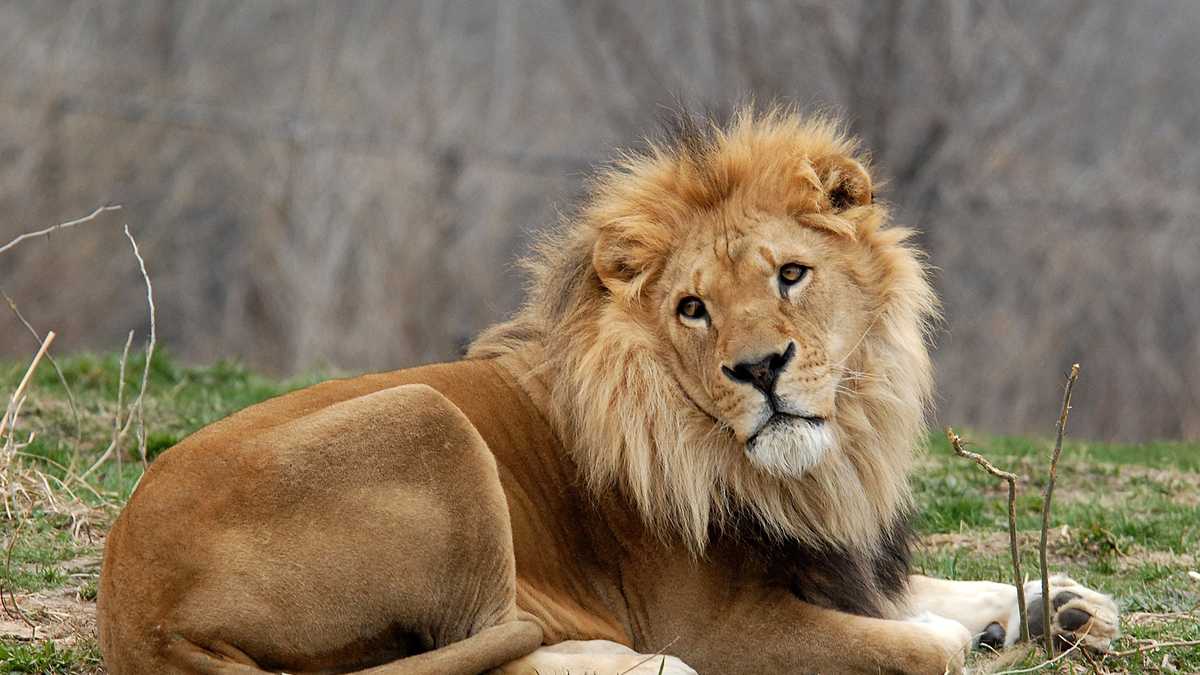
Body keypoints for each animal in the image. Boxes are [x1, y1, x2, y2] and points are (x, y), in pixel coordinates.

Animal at [98, 107, 1118, 667]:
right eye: (693, 308)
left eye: (790, 274)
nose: (760, 368)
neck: (817, 464)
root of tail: (130, 601)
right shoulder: (722, 627)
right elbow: (916, 643)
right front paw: (978, 635)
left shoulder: (832, 553)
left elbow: (925, 588)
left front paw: (1057, 603)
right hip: (426, 417)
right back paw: (629, 663)